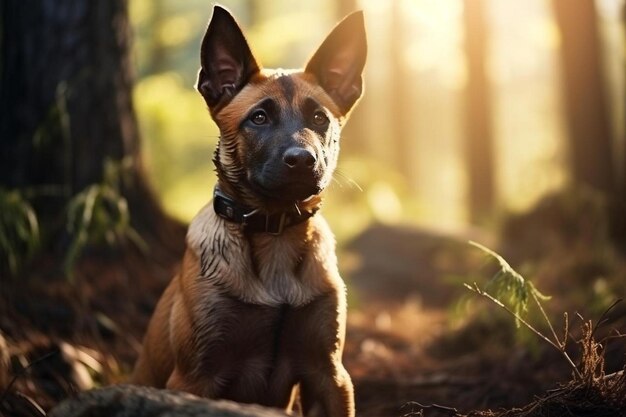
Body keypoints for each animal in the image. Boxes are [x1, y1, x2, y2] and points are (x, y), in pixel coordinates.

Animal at [132, 6, 366, 416]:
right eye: (258, 118)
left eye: (319, 119)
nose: (302, 161)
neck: (275, 233)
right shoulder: (194, 376)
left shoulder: (329, 373)